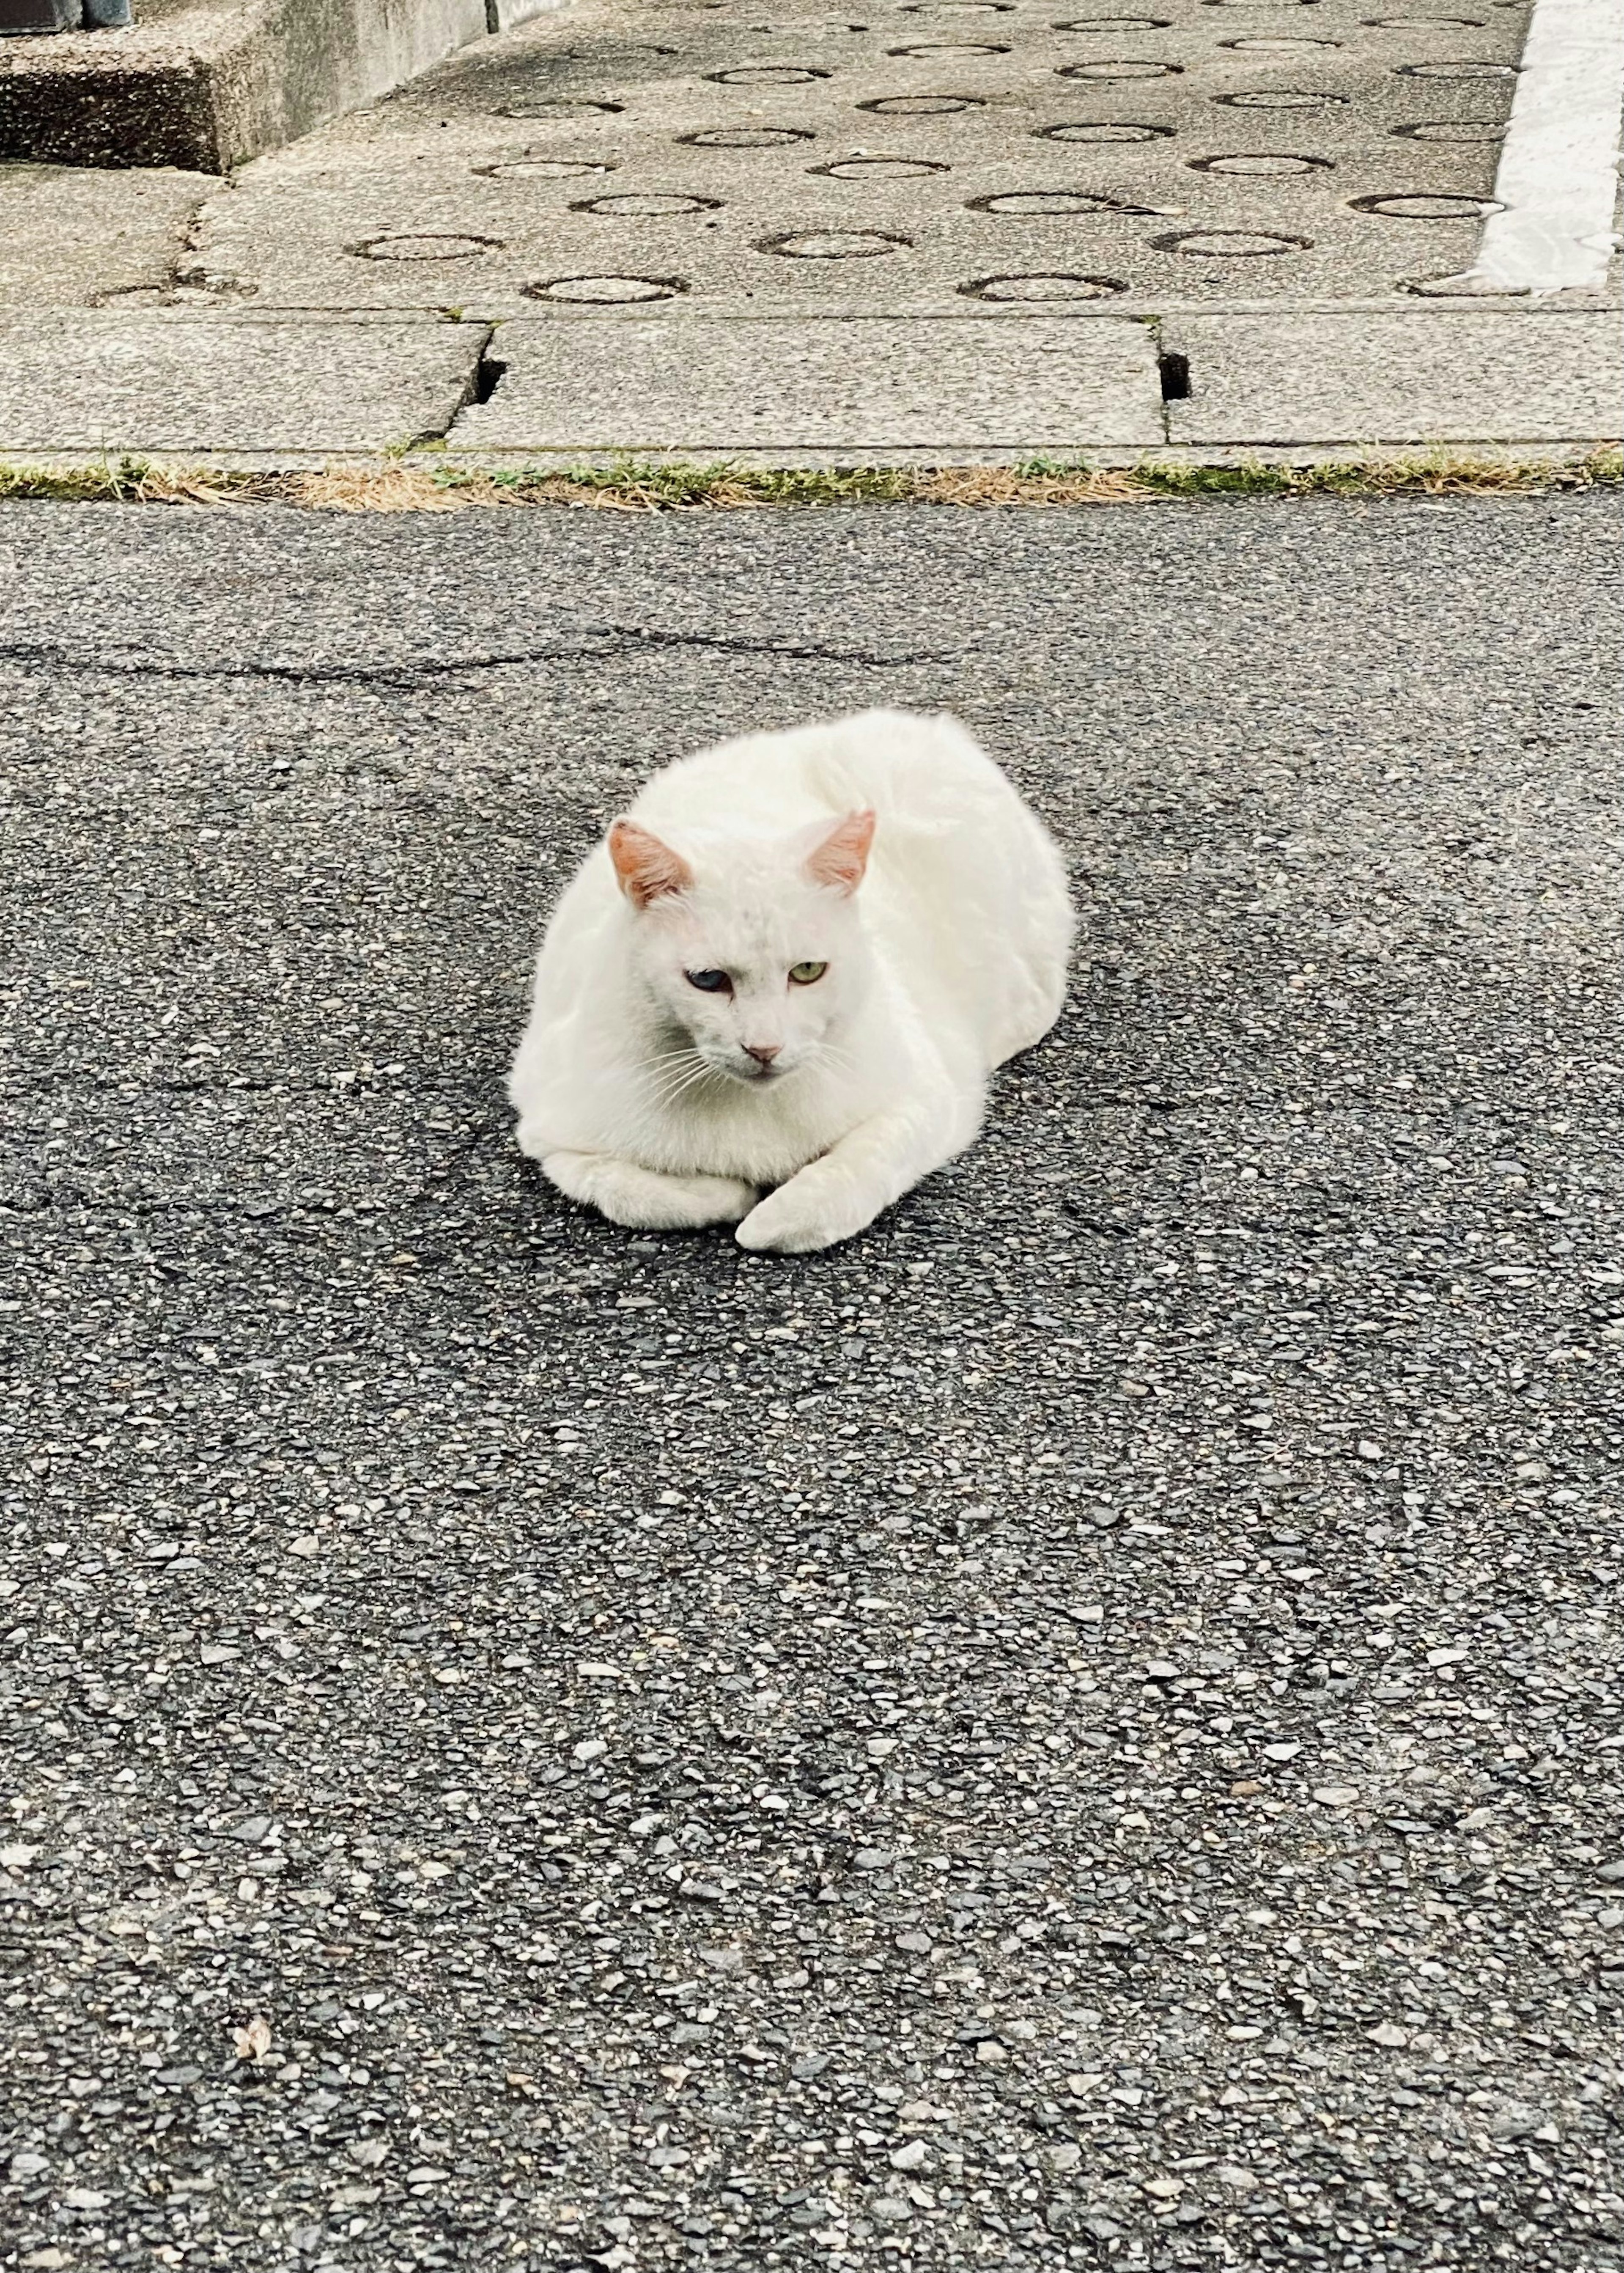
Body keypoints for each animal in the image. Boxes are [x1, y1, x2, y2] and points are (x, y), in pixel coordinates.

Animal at [504, 704, 1067, 1254]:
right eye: (707, 980)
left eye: (808, 972)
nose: (764, 1048)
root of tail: (931, 729)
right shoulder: (552, 1136)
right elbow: (637, 1193)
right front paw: (728, 1193)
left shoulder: (927, 1098)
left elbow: (851, 1175)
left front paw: (775, 1218)